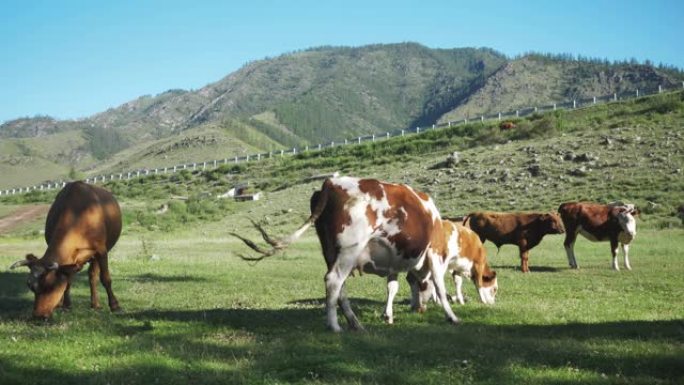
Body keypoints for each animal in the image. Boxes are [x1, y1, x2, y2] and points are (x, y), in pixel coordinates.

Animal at [10, 182, 122, 316]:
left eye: (52, 287)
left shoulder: (101, 250)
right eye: (30, 286)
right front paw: (66, 304)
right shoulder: (69, 260)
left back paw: (95, 304)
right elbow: (67, 280)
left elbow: (105, 278)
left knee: (92, 275)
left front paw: (115, 305)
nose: (38, 315)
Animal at [231, 176, 496, 330]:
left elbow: (392, 287)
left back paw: (354, 322)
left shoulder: (393, 260)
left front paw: (388, 316)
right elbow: (441, 287)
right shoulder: (435, 254)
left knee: (339, 287)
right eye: (493, 289)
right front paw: (451, 315)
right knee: (333, 281)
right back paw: (335, 326)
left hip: (332, 252)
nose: (419, 309)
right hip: (349, 249)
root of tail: (330, 183)